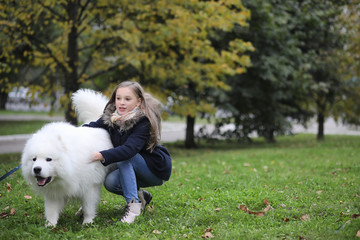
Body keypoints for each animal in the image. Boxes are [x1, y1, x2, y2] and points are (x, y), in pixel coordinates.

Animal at [20, 88, 112, 227]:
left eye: (49, 159)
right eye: (34, 159)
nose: (36, 169)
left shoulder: (90, 186)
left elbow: (89, 206)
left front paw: (87, 222)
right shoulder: (54, 192)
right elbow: (51, 210)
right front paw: (50, 225)